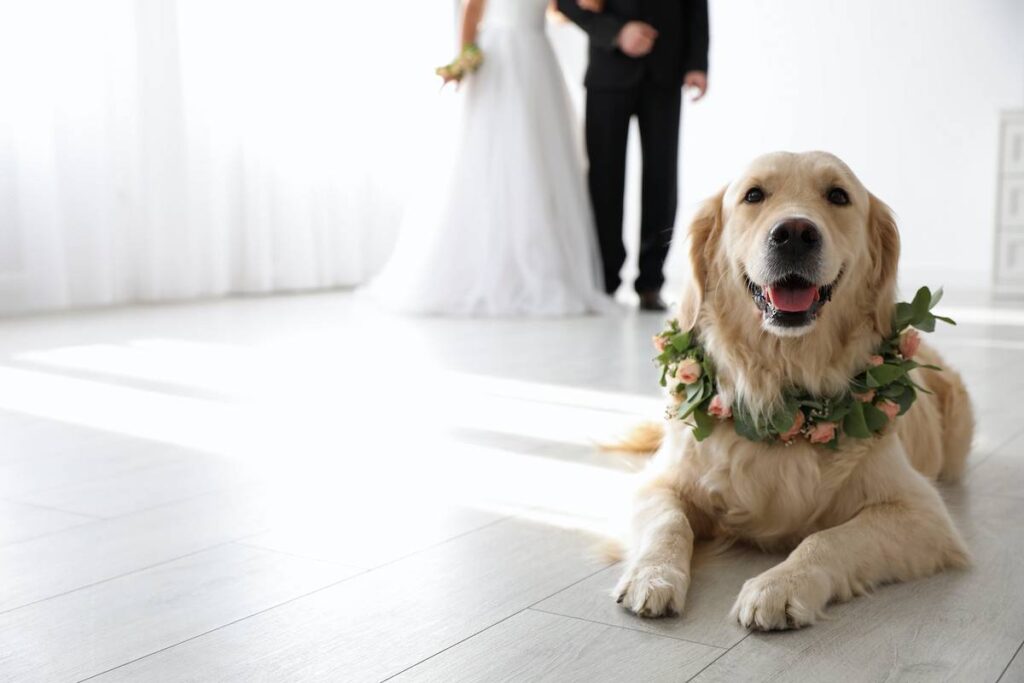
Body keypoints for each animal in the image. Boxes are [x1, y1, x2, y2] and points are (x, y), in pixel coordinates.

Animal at [614, 149, 974, 630]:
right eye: (753, 195)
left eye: (838, 196)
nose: (795, 234)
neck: (784, 387)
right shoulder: (660, 482)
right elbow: (668, 522)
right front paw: (652, 576)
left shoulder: (922, 513)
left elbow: (827, 539)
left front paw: (780, 586)